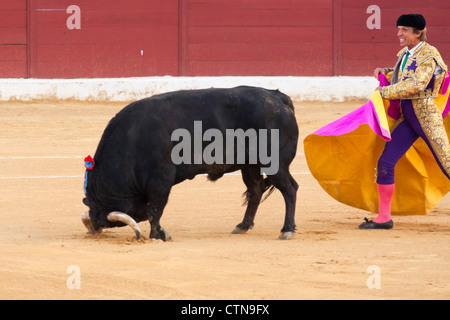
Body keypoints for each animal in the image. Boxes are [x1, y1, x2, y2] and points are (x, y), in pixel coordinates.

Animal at [81, 85, 298, 240]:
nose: (95, 223)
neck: (133, 137)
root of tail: (278, 98)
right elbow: (154, 209)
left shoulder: (161, 178)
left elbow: (155, 209)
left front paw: (158, 234)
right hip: (250, 165)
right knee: (255, 190)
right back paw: (242, 226)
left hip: (275, 163)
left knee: (289, 188)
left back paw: (287, 230)